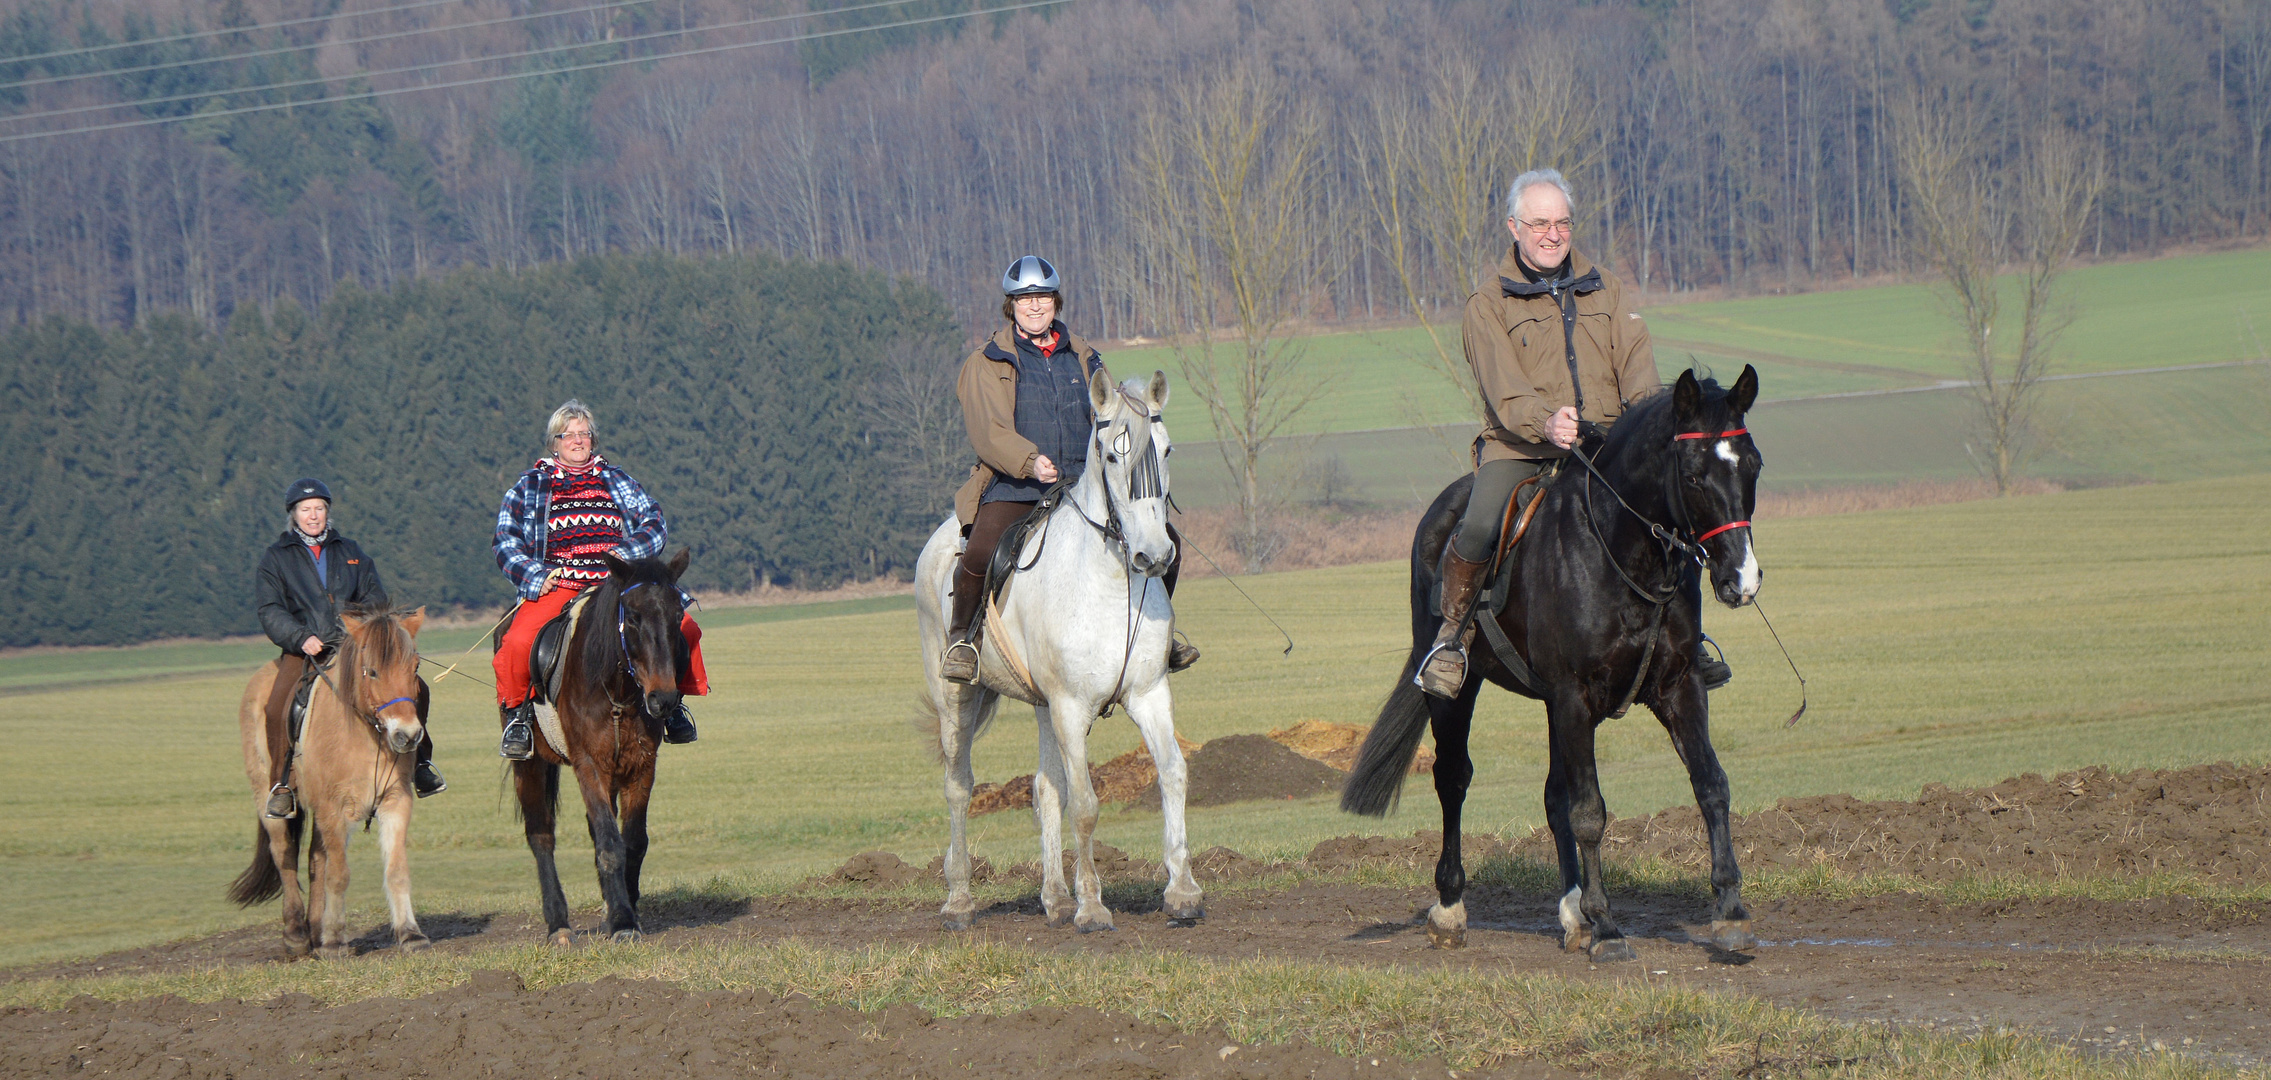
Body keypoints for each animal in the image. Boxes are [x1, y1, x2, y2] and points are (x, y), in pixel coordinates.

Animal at [229, 612, 429, 957]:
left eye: (414, 667)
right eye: (372, 671)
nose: (407, 735)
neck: (365, 734)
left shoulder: (395, 801)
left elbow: (396, 871)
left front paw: (410, 934)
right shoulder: (333, 808)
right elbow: (338, 874)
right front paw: (335, 941)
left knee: (315, 859)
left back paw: (315, 930)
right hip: (269, 797)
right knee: (285, 854)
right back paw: (296, 934)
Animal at [917, 367, 1217, 930]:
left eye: (1166, 451)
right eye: (1114, 457)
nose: (1154, 555)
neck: (1112, 584)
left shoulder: (1147, 695)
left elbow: (1172, 774)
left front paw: (1183, 891)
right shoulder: (1072, 708)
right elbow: (1085, 803)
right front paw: (1093, 905)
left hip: (1042, 706)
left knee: (1044, 787)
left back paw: (1055, 897)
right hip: (957, 698)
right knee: (958, 786)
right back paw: (960, 899)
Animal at [1335, 369, 1762, 962]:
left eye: (1753, 466)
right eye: (1694, 476)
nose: (1741, 580)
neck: (1623, 554)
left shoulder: (1677, 688)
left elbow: (1710, 785)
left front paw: (1730, 912)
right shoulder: (1574, 697)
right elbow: (1589, 812)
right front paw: (1608, 928)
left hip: (1553, 706)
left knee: (1553, 794)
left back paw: (1571, 913)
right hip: (1460, 691)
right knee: (1453, 778)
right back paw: (1450, 908)